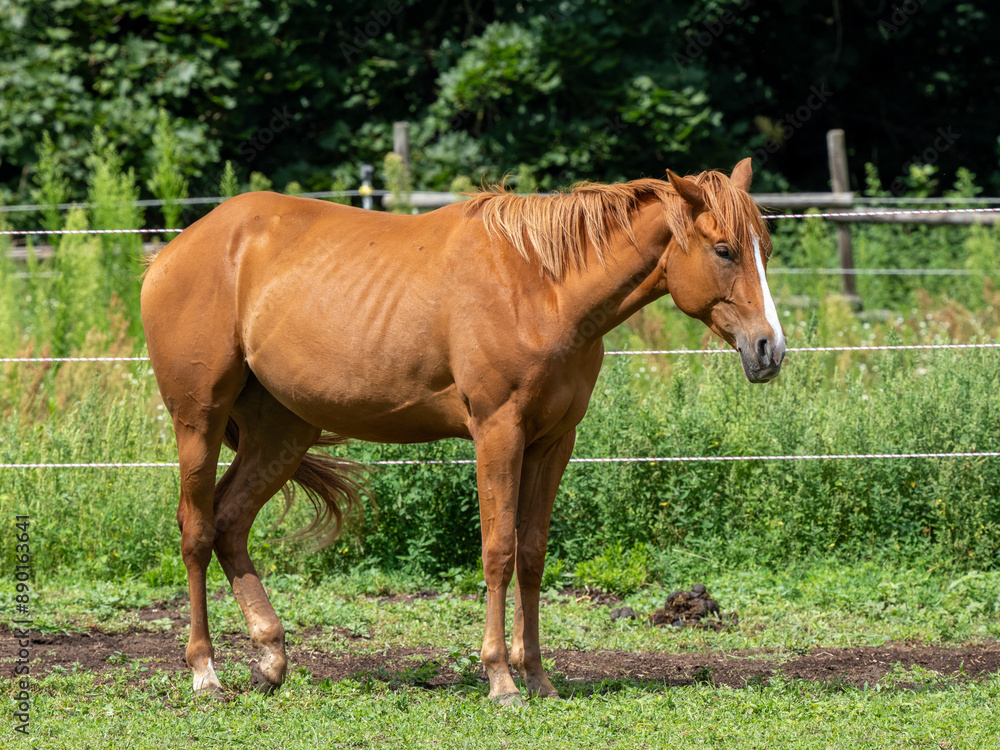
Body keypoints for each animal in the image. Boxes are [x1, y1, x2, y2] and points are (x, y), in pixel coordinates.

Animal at [140, 158, 784, 705]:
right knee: (197, 530)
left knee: (230, 523)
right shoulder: (498, 431)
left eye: (766, 248)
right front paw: (500, 680)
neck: (542, 287)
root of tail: (170, 254)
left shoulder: (554, 442)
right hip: (198, 422)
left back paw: (272, 659)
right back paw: (205, 672)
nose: (769, 349)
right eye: (725, 249)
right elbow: (498, 550)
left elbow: (532, 553)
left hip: (282, 433)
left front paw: (538, 677)